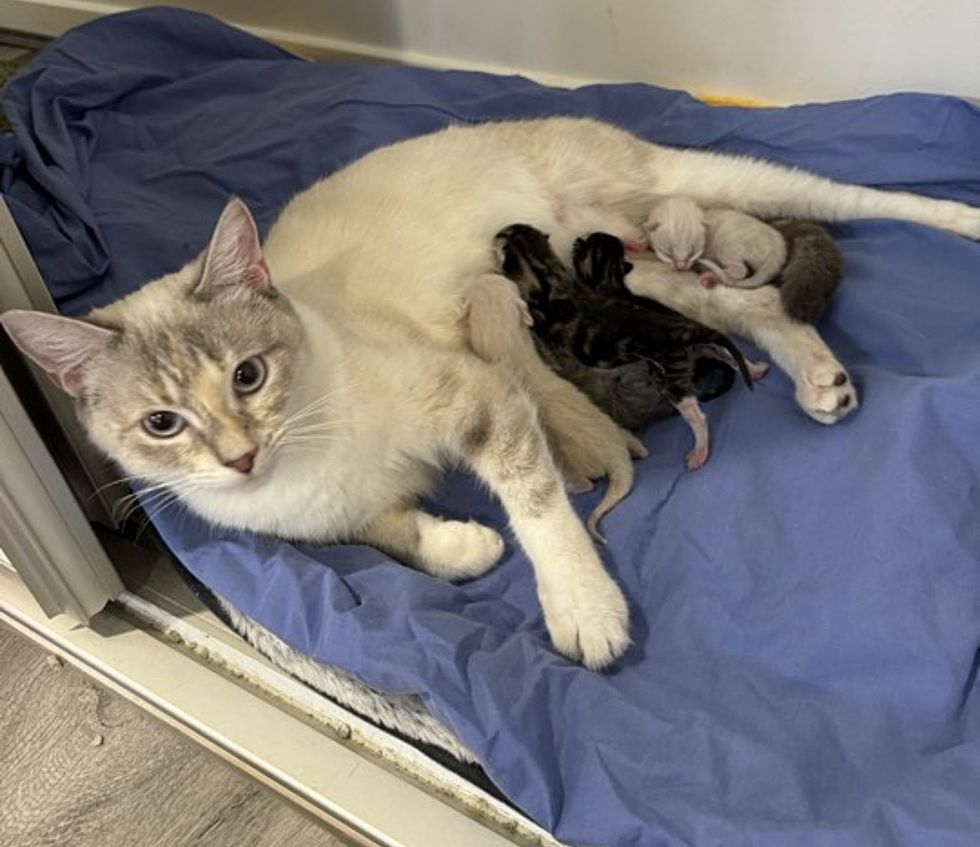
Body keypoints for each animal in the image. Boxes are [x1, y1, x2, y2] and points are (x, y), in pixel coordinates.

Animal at [1, 117, 980, 668]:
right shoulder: (319, 524)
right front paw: (462, 546)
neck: (306, 454)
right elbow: (390, 535)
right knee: (748, 305)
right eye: (162, 423)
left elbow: (538, 507)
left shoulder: (481, 397)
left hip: (692, 185)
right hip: (640, 271)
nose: (239, 455)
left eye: (249, 375)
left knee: (843, 196)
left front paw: (584, 612)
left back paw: (957, 220)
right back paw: (820, 378)